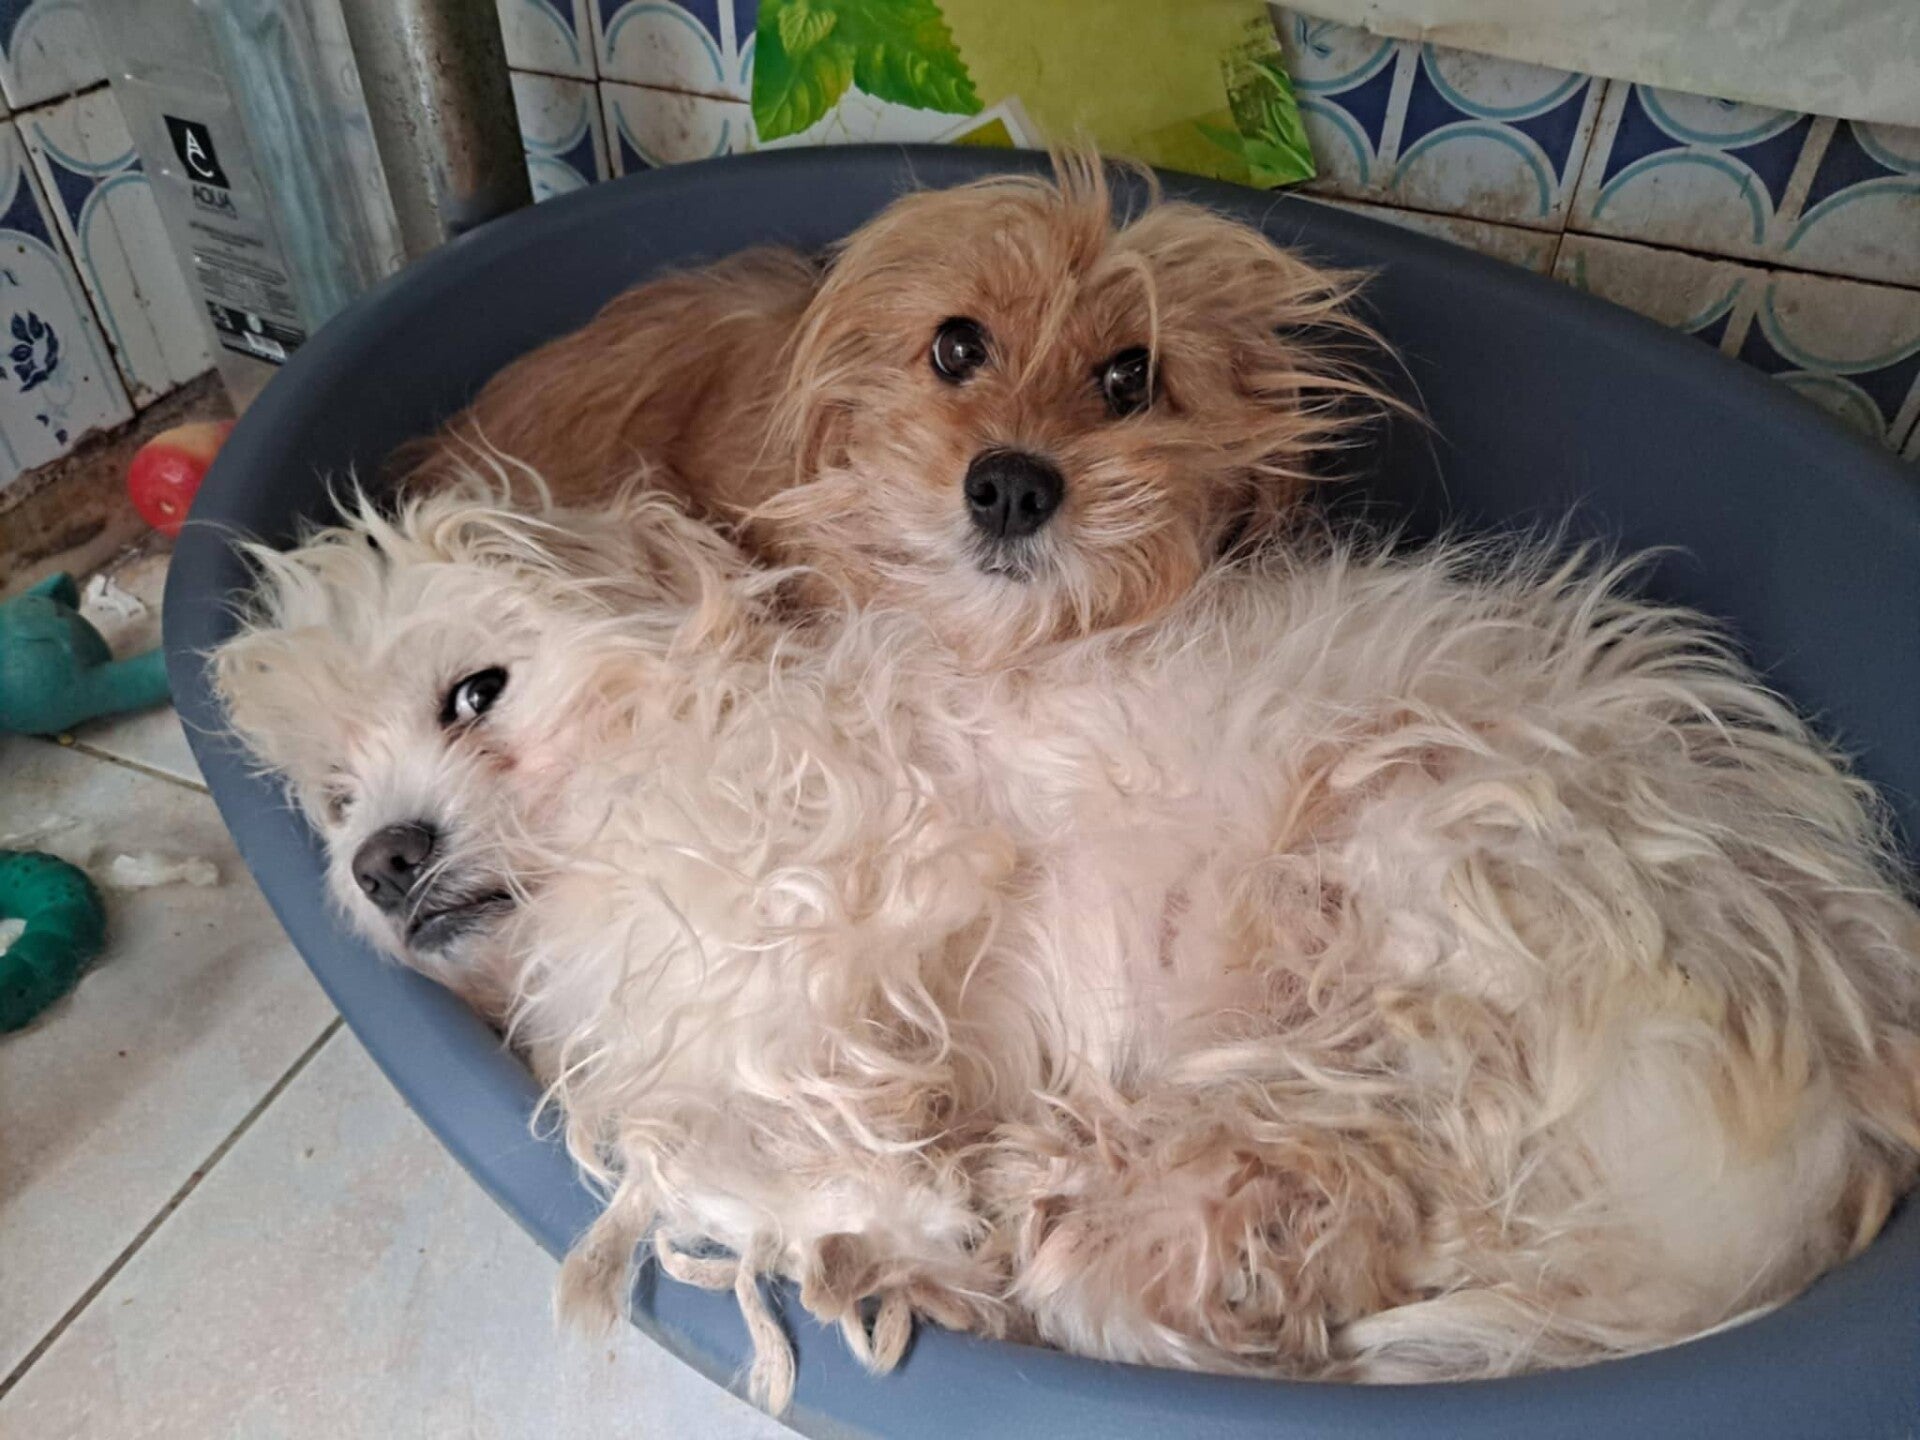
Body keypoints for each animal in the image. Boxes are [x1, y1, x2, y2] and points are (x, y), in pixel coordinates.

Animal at [219, 477, 1920, 1400]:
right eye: (331, 796)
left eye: (476, 691)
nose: (379, 860)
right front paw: (902, 1240)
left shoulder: (832, 906)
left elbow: (716, 1131)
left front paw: (892, 1228)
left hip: (1416, 887)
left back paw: (1093, 1227)